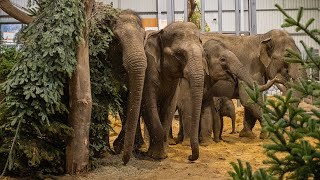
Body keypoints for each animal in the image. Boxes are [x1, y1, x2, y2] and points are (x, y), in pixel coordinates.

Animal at [142, 21, 205, 162]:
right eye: (178, 54)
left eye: (203, 53)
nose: (190, 157)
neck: (160, 32)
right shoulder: (148, 69)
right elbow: (149, 103)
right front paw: (157, 156)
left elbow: (169, 106)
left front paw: (163, 153)